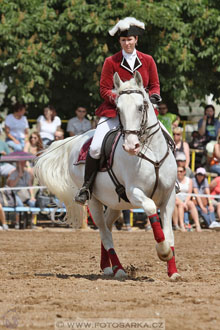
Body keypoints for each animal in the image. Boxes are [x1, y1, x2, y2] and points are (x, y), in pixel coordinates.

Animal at [35, 71, 180, 280]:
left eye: (141, 106)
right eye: (118, 109)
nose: (131, 146)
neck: (151, 153)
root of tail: (76, 140)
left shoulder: (169, 196)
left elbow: (169, 233)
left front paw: (173, 271)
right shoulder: (135, 192)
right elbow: (152, 210)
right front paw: (163, 251)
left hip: (115, 202)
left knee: (108, 226)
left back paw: (107, 266)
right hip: (94, 200)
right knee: (104, 232)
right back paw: (118, 269)